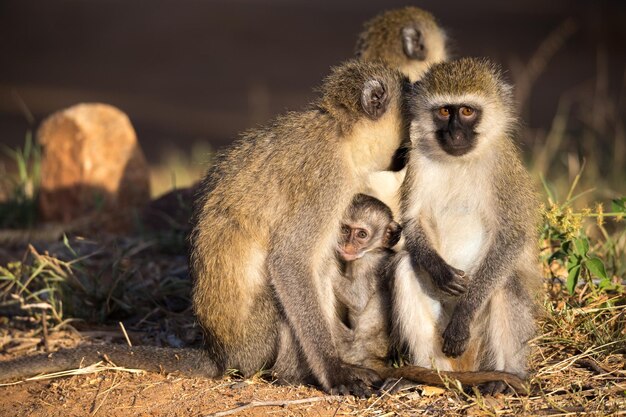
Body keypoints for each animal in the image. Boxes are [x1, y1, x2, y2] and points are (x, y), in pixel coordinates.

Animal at [392, 57, 540, 394]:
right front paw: (440, 270)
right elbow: (413, 221)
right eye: (446, 111)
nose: (455, 135)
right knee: (406, 266)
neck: (459, 161)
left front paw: (464, 314)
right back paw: (431, 377)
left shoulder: (503, 166)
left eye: (468, 111)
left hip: (480, 344)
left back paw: (505, 377)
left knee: (506, 282)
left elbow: (511, 236)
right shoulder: (417, 161)